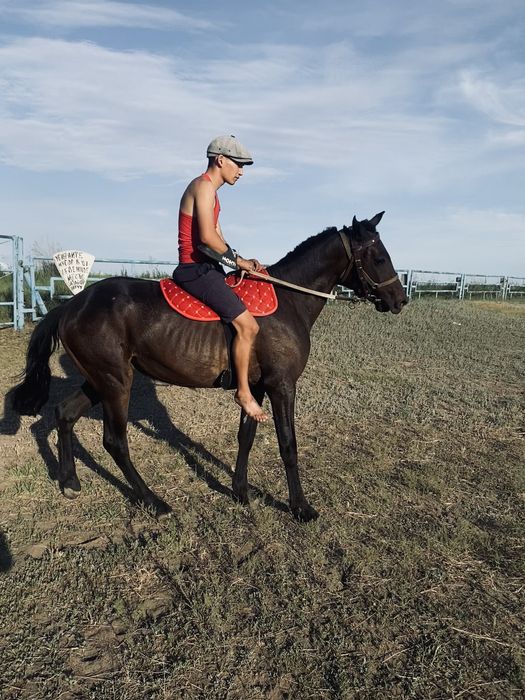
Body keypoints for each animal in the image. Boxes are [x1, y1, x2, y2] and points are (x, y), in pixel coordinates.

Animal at [12, 212, 407, 522]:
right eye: (378, 257)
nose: (400, 300)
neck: (288, 301)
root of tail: (71, 305)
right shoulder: (282, 386)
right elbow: (288, 444)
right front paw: (300, 507)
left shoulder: (257, 387)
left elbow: (246, 436)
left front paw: (240, 491)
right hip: (115, 383)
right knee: (115, 441)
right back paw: (152, 501)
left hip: (100, 380)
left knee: (64, 414)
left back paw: (70, 481)